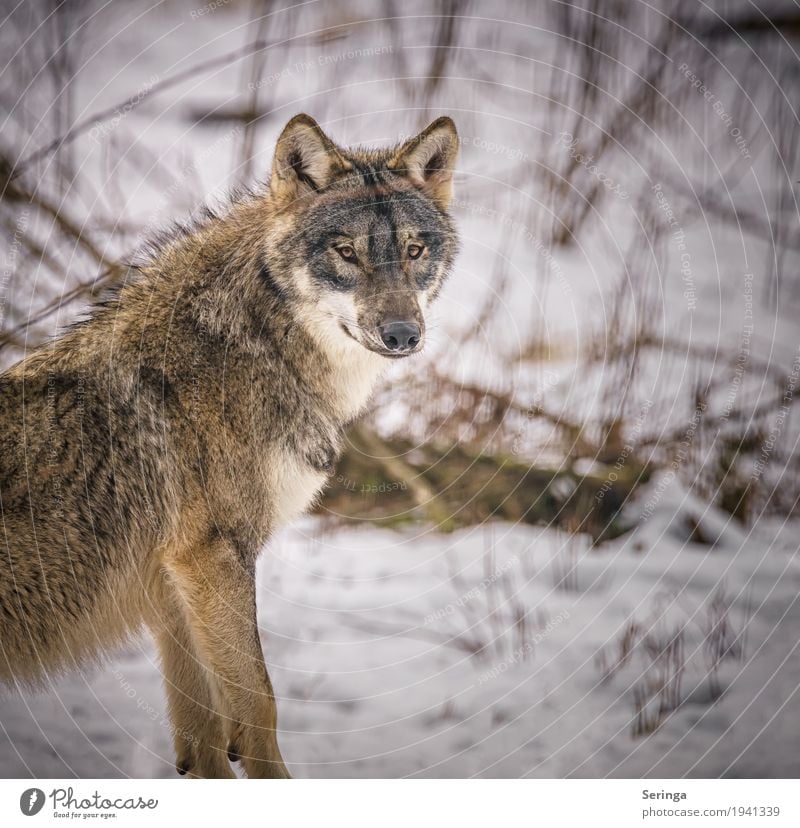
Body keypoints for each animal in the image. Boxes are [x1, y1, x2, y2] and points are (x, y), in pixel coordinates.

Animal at [0, 113, 460, 780]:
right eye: (346, 252)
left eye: (414, 250)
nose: (402, 334)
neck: (257, 347)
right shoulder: (213, 556)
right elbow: (260, 705)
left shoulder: (173, 585)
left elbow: (207, 736)